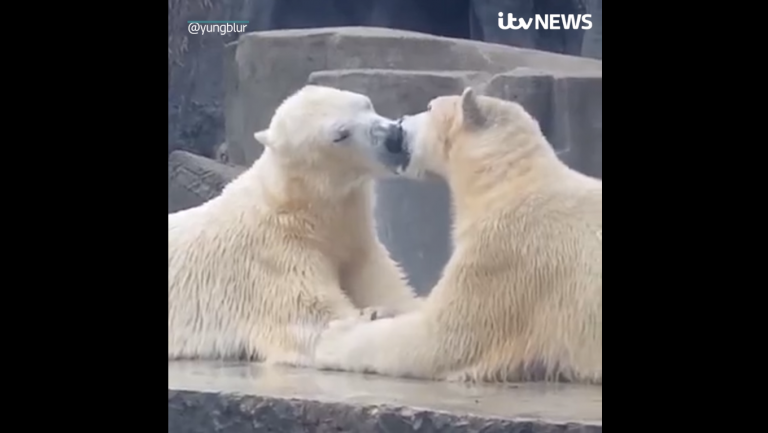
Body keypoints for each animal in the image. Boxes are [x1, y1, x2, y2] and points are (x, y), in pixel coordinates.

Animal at [168, 83, 424, 364]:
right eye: (340, 134)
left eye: (366, 104)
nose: (394, 136)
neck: (300, 210)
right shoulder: (273, 260)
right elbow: (316, 322)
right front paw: (372, 316)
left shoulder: (358, 243)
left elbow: (391, 289)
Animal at [310, 87, 600, 382]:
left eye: (429, 107)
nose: (400, 122)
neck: (504, 181)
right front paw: (377, 311)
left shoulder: (508, 256)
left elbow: (440, 339)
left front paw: (333, 337)